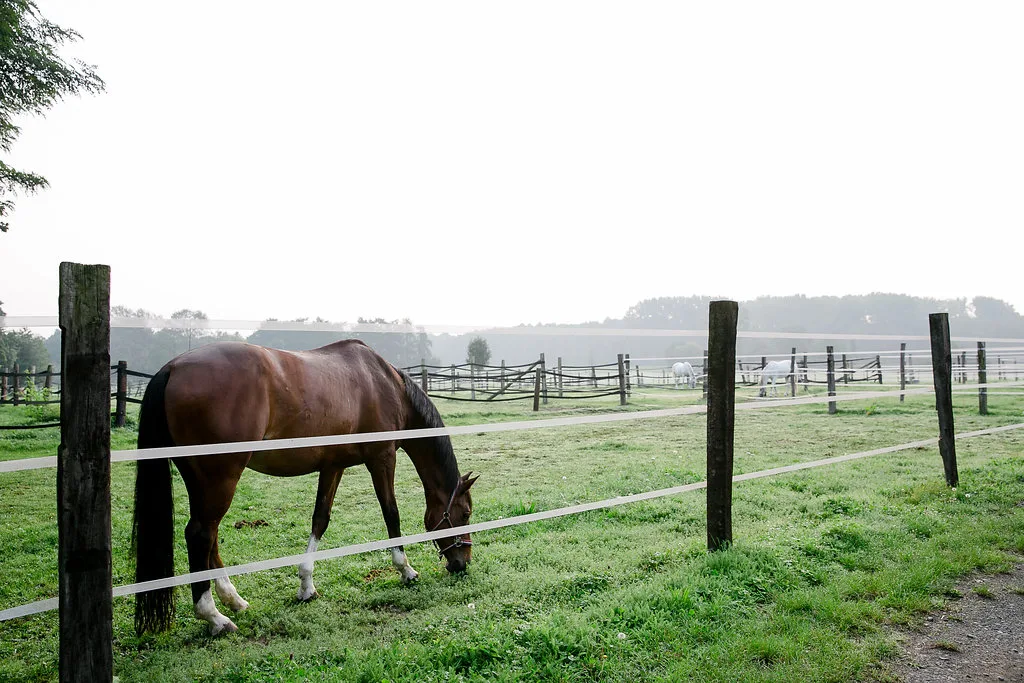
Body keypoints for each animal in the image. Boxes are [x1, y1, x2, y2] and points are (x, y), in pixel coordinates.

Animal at [132, 339, 478, 636]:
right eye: (465, 513)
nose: (462, 564)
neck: (385, 384)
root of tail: (172, 368)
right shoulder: (382, 459)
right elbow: (391, 514)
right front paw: (406, 570)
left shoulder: (333, 466)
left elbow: (320, 519)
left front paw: (306, 586)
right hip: (221, 478)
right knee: (201, 535)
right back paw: (215, 617)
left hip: (202, 482)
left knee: (209, 535)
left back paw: (233, 599)